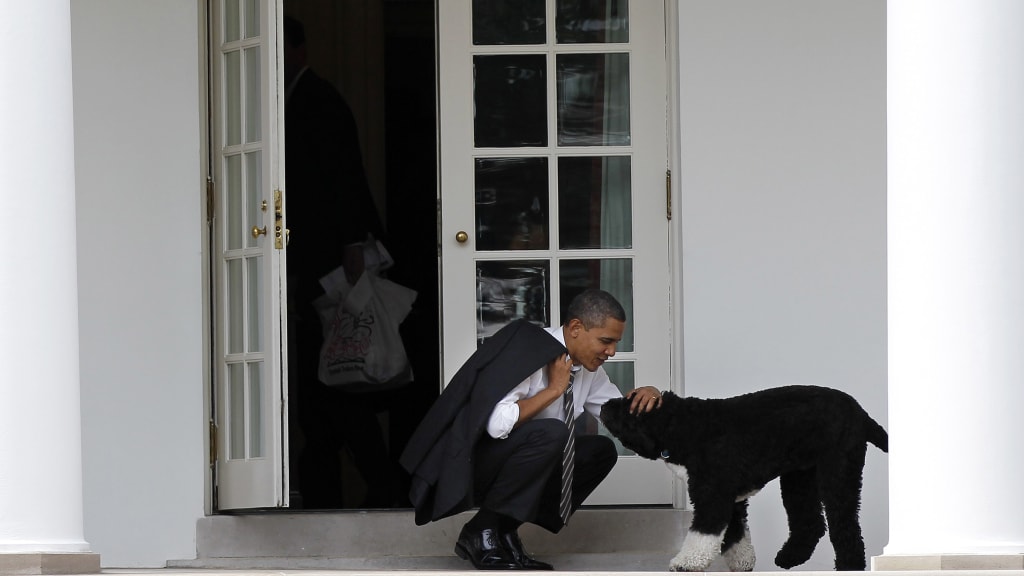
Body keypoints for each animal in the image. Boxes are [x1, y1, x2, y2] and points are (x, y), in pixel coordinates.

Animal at [598, 383, 888, 565]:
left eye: (627, 405)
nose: (602, 406)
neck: (684, 425)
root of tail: (861, 413)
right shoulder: (731, 500)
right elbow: (735, 535)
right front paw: (743, 562)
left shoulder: (712, 496)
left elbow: (702, 534)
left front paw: (685, 562)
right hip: (799, 477)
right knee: (810, 523)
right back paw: (789, 558)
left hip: (838, 474)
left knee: (846, 529)